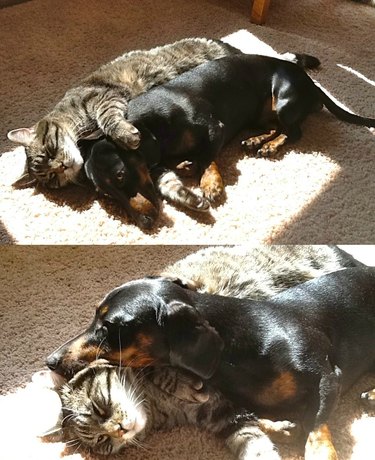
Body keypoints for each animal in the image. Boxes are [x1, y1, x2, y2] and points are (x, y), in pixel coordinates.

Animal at [7, 38, 239, 190]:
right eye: (52, 178)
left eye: (50, 150)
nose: (62, 167)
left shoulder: (103, 97)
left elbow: (107, 118)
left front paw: (126, 135)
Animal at [53, 362, 296, 458]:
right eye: (102, 440)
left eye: (99, 408)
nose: (120, 430)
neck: (156, 404)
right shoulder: (220, 414)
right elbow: (252, 439)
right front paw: (277, 429)